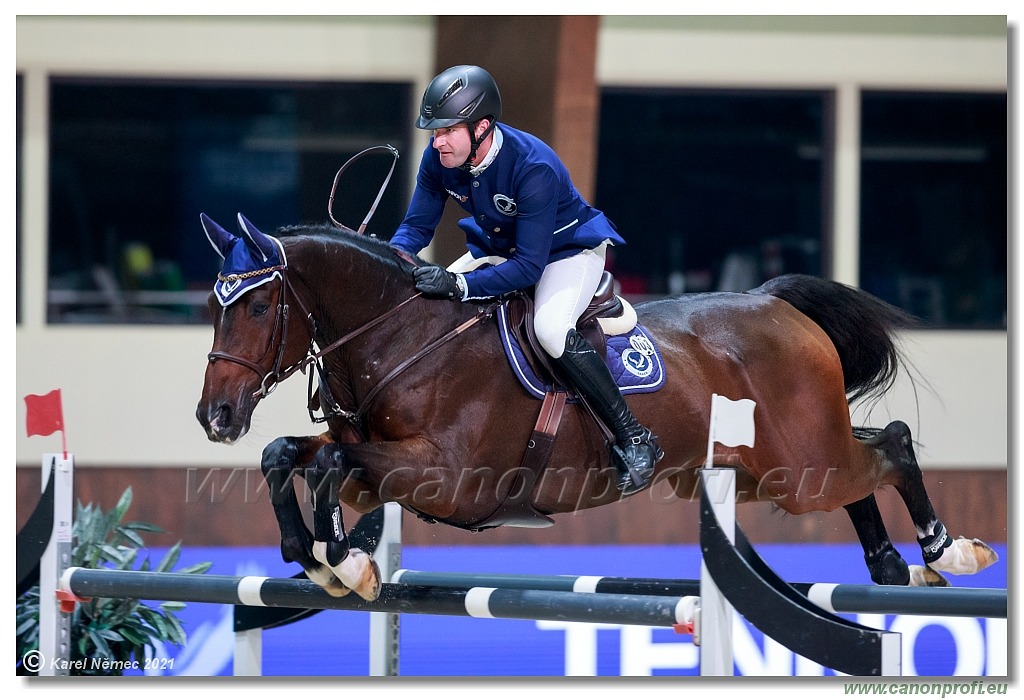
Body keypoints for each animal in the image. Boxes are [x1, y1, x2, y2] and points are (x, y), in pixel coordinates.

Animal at [195, 214, 995, 601]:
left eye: (258, 305)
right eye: (213, 304)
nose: (216, 417)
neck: (402, 336)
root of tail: (774, 301)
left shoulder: (449, 479)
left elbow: (330, 460)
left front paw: (342, 560)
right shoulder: (387, 467)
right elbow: (288, 455)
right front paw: (312, 554)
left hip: (798, 468)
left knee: (890, 444)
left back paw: (945, 550)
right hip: (773, 468)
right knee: (863, 465)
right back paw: (893, 567)